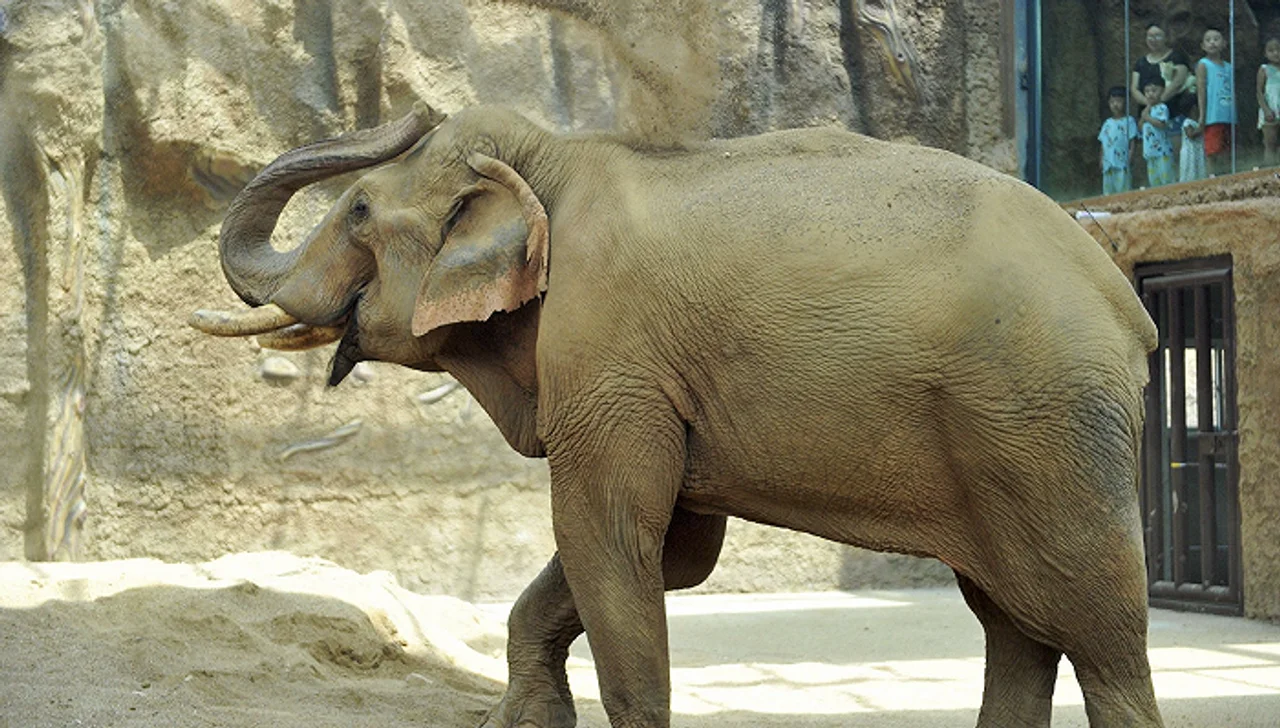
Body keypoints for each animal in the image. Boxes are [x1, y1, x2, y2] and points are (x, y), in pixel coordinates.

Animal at [191, 101, 1163, 728]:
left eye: (358, 210)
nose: (410, 109)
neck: (553, 161)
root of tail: (1123, 296)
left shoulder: (612, 355)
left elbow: (609, 535)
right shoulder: (652, 376)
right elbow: (673, 554)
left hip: (1046, 422)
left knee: (1096, 627)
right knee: (1015, 623)